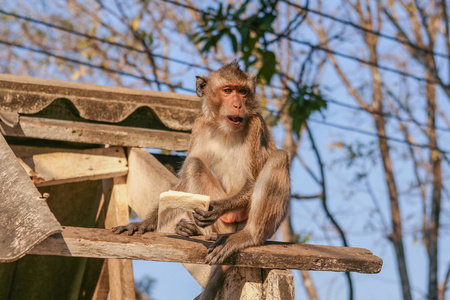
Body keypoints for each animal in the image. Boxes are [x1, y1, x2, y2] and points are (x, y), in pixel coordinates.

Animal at [112, 60, 292, 298]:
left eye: (243, 92)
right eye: (228, 91)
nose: (238, 105)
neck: (226, 128)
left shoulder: (255, 126)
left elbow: (252, 180)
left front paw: (217, 208)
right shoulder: (200, 125)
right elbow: (183, 178)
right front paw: (145, 223)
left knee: (278, 158)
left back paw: (249, 235)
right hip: (223, 227)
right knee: (194, 165)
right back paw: (196, 231)